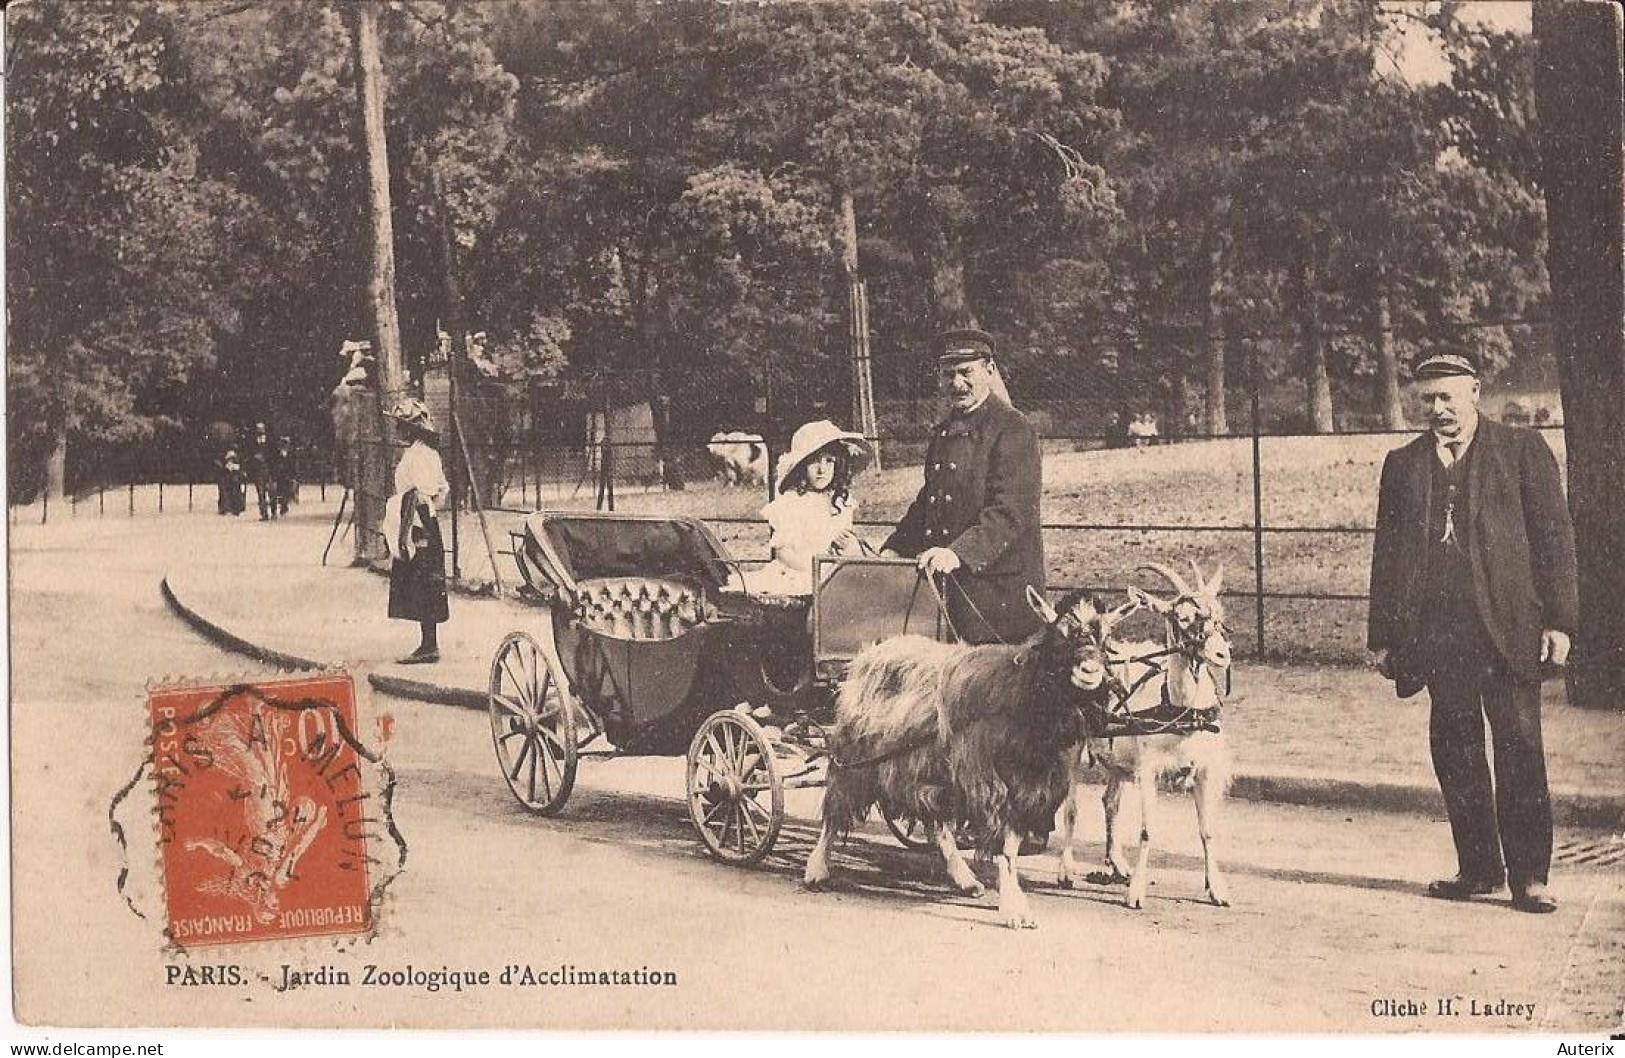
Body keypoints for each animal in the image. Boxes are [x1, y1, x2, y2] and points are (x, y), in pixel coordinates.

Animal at [802, 591, 1137, 929]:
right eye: (1060, 634)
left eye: (1106, 636)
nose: (1089, 671)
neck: (1018, 692)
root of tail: (871, 651)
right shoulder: (987, 782)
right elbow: (1004, 847)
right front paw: (1013, 908)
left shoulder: (1027, 787)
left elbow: (1012, 844)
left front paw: (1014, 902)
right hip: (855, 755)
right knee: (835, 806)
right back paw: (816, 869)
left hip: (923, 768)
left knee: (934, 822)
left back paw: (965, 879)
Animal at [1059, 562, 1235, 910]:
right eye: (1182, 617)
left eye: (1218, 614)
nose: (1223, 654)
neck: (1181, 712)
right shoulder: (1149, 771)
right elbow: (1146, 831)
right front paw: (1137, 892)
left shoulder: (1205, 770)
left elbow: (1207, 830)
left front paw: (1217, 888)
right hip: (1074, 748)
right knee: (1071, 807)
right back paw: (1067, 870)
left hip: (1119, 761)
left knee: (1110, 802)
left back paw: (1117, 864)